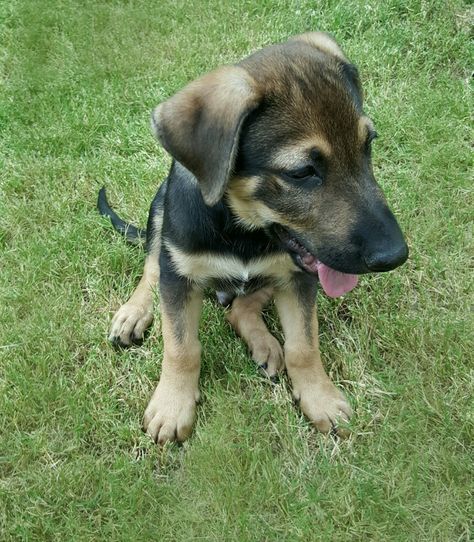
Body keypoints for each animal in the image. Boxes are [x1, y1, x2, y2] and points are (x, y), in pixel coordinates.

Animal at [99, 30, 408, 446]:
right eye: (302, 172)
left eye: (367, 145)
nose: (396, 255)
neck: (241, 229)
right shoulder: (179, 277)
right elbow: (181, 347)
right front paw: (172, 406)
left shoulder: (298, 277)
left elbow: (304, 345)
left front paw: (320, 398)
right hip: (159, 209)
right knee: (151, 267)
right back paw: (134, 312)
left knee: (240, 309)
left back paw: (264, 345)